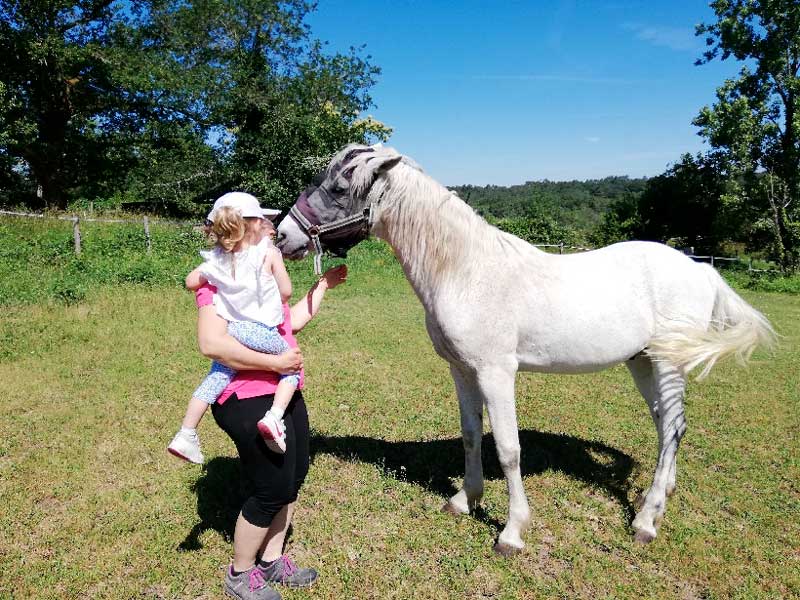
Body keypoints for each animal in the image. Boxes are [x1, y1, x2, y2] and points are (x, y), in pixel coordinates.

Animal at [275, 144, 776, 556]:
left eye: (340, 186)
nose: (283, 235)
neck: (465, 270)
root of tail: (701, 270)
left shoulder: (497, 372)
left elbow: (509, 448)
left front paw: (512, 532)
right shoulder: (462, 371)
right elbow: (472, 435)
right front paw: (464, 500)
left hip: (668, 363)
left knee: (672, 428)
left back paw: (646, 521)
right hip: (643, 363)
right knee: (667, 425)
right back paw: (659, 498)